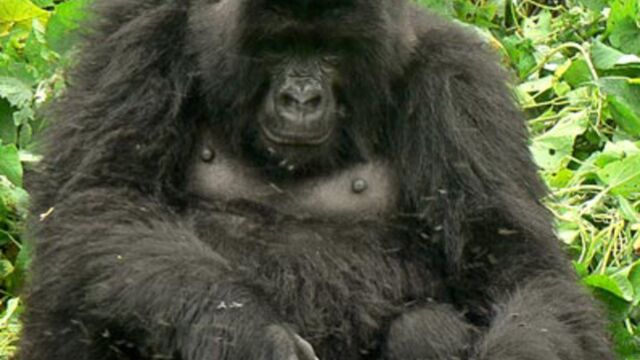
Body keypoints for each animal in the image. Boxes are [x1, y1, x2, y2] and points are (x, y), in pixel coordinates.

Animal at [18, 0, 616, 360]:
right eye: (278, 47)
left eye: (330, 53)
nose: (301, 98)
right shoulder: (138, 32)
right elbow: (99, 198)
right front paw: (248, 335)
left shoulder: (461, 85)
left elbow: (516, 265)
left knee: (427, 325)